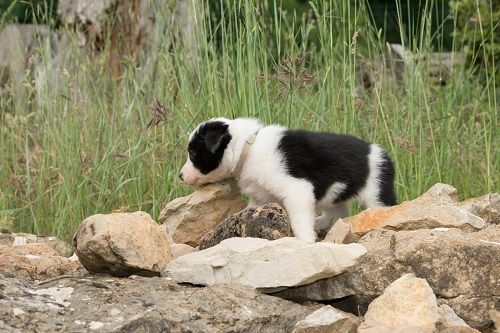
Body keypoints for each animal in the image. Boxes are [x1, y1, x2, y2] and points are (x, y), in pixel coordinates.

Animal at [178, 117, 396, 241]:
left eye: (193, 153)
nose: (180, 176)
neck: (249, 148)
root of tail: (382, 154)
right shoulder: (260, 197)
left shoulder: (297, 190)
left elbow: (300, 221)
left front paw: (306, 241)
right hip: (335, 194)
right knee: (338, 211)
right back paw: (320, 222)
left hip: (377, 194)